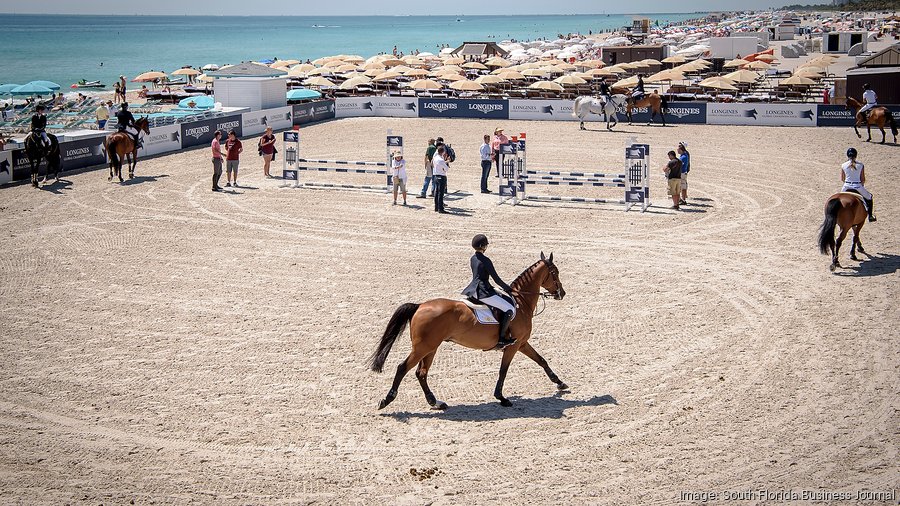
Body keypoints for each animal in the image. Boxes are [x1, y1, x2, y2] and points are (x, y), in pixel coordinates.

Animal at [370, 251, 568, 410]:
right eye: (555, 273)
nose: (562, 293)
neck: (521, 303)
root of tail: (419, 306)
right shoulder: (513, 345)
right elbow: (503, 371)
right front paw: (502, 398)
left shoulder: (522, 343)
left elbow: (541, 360)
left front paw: (560, 383)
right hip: (423, 347)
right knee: (403, 368)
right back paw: (387, 400)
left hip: (431, 347)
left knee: (421, 373)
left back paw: (436, 402)